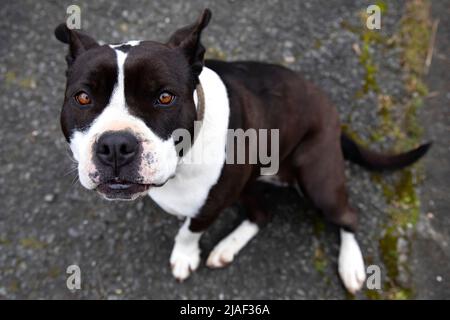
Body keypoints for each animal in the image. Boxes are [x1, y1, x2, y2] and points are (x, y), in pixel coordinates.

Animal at [54, 8, 430, 294]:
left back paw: (351, 266)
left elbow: (189, 231)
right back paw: (227, 247)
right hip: (250, 181)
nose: (116, 145)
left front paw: (184, 255)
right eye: (83, 97)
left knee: (347, 216)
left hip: (317, 179)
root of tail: (334, 115)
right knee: (262, 213)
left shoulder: (210, 205)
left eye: (165, 97)